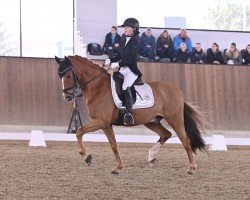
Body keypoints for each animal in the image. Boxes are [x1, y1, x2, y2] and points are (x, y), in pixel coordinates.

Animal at [54, 55, 207, 175]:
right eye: (60, 76)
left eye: (68, 75)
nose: (67, 97)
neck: (98, 88)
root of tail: (177, 90)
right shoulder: (106, 124)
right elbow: (114, 145)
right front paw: (118, 167)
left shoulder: (101, 121)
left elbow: (79, 131)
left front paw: (87, 157)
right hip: (151, 121)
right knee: (166, 134)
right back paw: (152, 157)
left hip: (174, 119)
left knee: (185, 141)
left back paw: (191, 168)